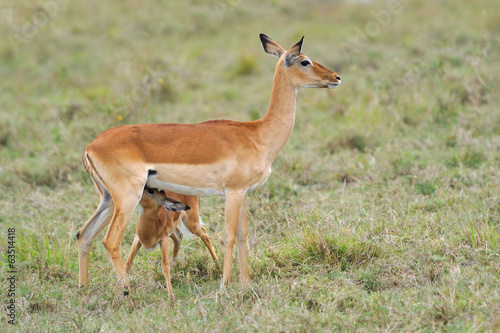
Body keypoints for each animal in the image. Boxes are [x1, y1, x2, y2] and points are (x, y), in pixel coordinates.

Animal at [77, 34, 340, 294]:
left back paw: (84, 290)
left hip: (108, 199)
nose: (336, 77)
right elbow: (229, 235)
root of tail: (91, 146)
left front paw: (245, 283)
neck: (256, 135)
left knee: (84, 234)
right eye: (304, 61)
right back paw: (126, 290)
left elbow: (243, 235)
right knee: (110, 241)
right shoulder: (233, 192)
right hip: (127, 198)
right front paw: (225, 286)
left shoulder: (245, 193)